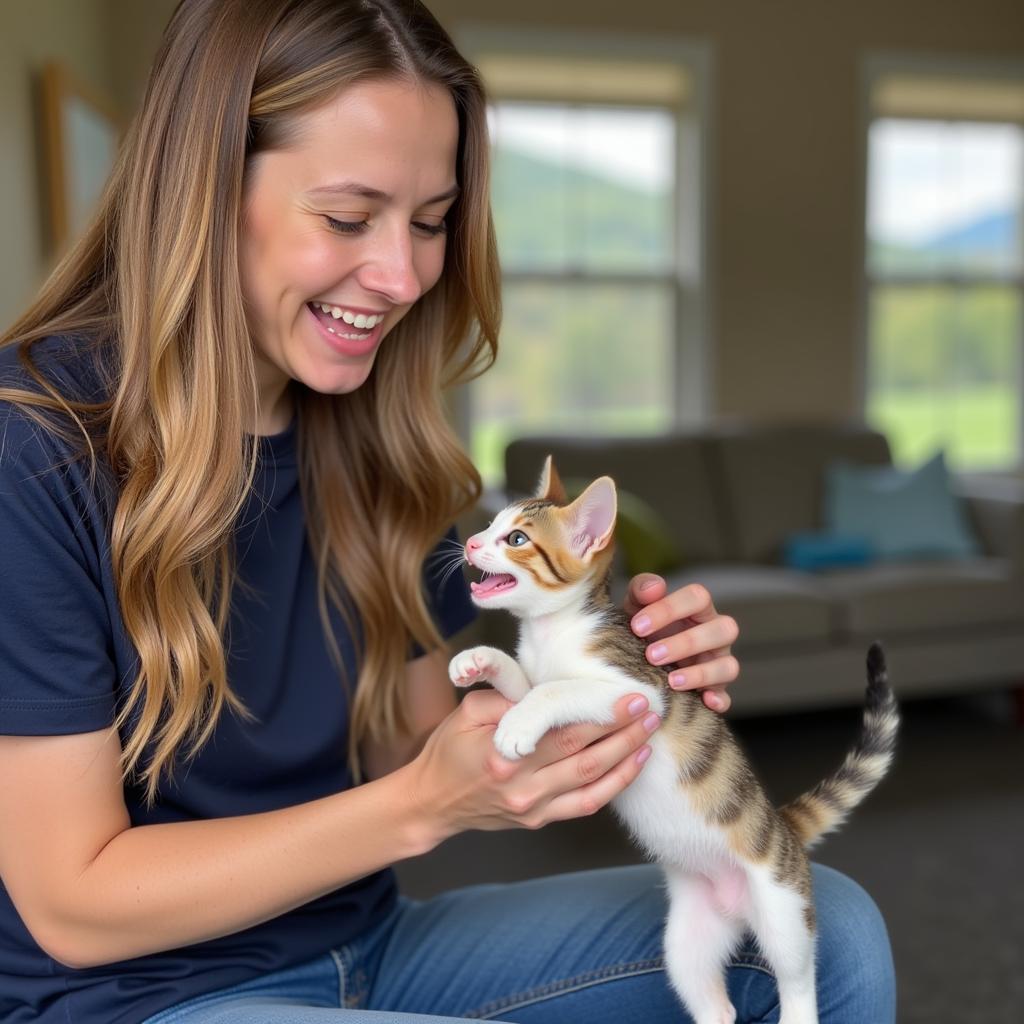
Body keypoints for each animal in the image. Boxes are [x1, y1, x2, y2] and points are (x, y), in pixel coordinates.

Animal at [448, 460, 897, 1024]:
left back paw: (796, 1007)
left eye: (516, 539)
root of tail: (784, 829)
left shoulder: (637, 690)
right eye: (492, 525)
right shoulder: (542, 669)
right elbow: (524, 681)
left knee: (796, 975)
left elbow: (555, 690)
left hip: (781, 909)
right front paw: (479, 660)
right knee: (715, 1005)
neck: (553, 631)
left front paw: (517, 726)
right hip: (688, 940)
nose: (469, 542)